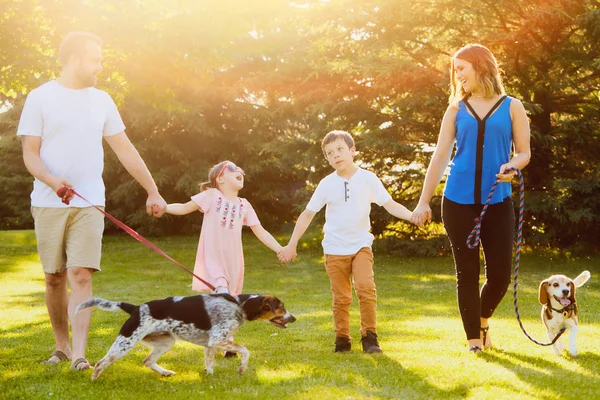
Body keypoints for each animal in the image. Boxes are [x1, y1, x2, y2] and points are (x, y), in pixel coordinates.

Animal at [76, 292, 296, 380]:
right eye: (281, 307)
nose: (293, 318)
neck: (238, 305)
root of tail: (135, 308)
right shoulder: (217, 339)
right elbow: (245, 350)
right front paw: (242, 369)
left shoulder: (211, 344)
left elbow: (209, 364)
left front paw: (209, 377)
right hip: (124, 344)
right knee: (100, 363)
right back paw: (94, 381)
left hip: (166, 342)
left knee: (147, 361)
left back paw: (165, 372)